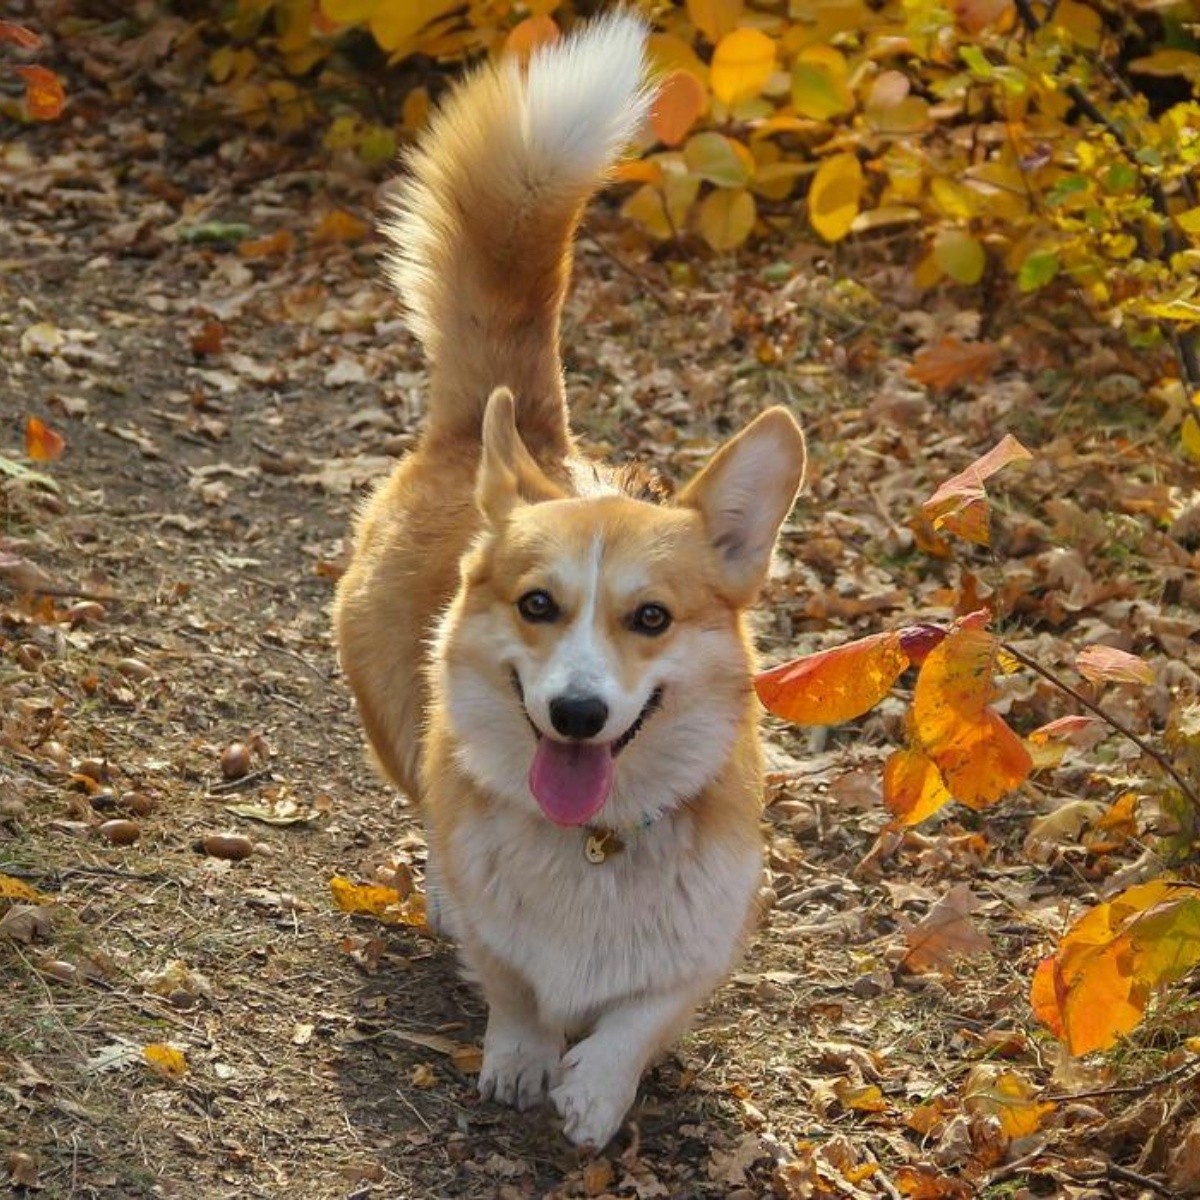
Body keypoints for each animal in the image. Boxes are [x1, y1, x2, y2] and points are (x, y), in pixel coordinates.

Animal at [333, 11, 806, 1152]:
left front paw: (596, 1086)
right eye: (538, 604)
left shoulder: (709, 940)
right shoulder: (503, 934)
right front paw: (522, 1057)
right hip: (391, 716)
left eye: (651, 617)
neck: (592, 842)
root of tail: (502, 433)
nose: (580, 715)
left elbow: (645, 1012)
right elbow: (511, 982)